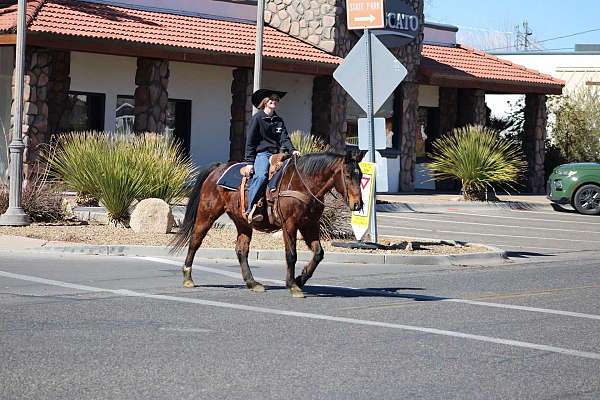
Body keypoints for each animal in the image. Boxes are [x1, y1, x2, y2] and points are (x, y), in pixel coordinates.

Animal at [171, 152, 364, 298]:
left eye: (361, 176)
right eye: (348, 175)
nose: (358, 204)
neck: (302, 183)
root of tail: (218, 168)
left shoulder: (310, 225)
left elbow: (318, 253)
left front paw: (300, 279)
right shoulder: (289, 224)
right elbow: (291, 255)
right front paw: (292, 285)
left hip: (242, 222)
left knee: (241, 250)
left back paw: (252, 283)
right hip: (207, 214)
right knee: (195, 241)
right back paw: (188, 277)